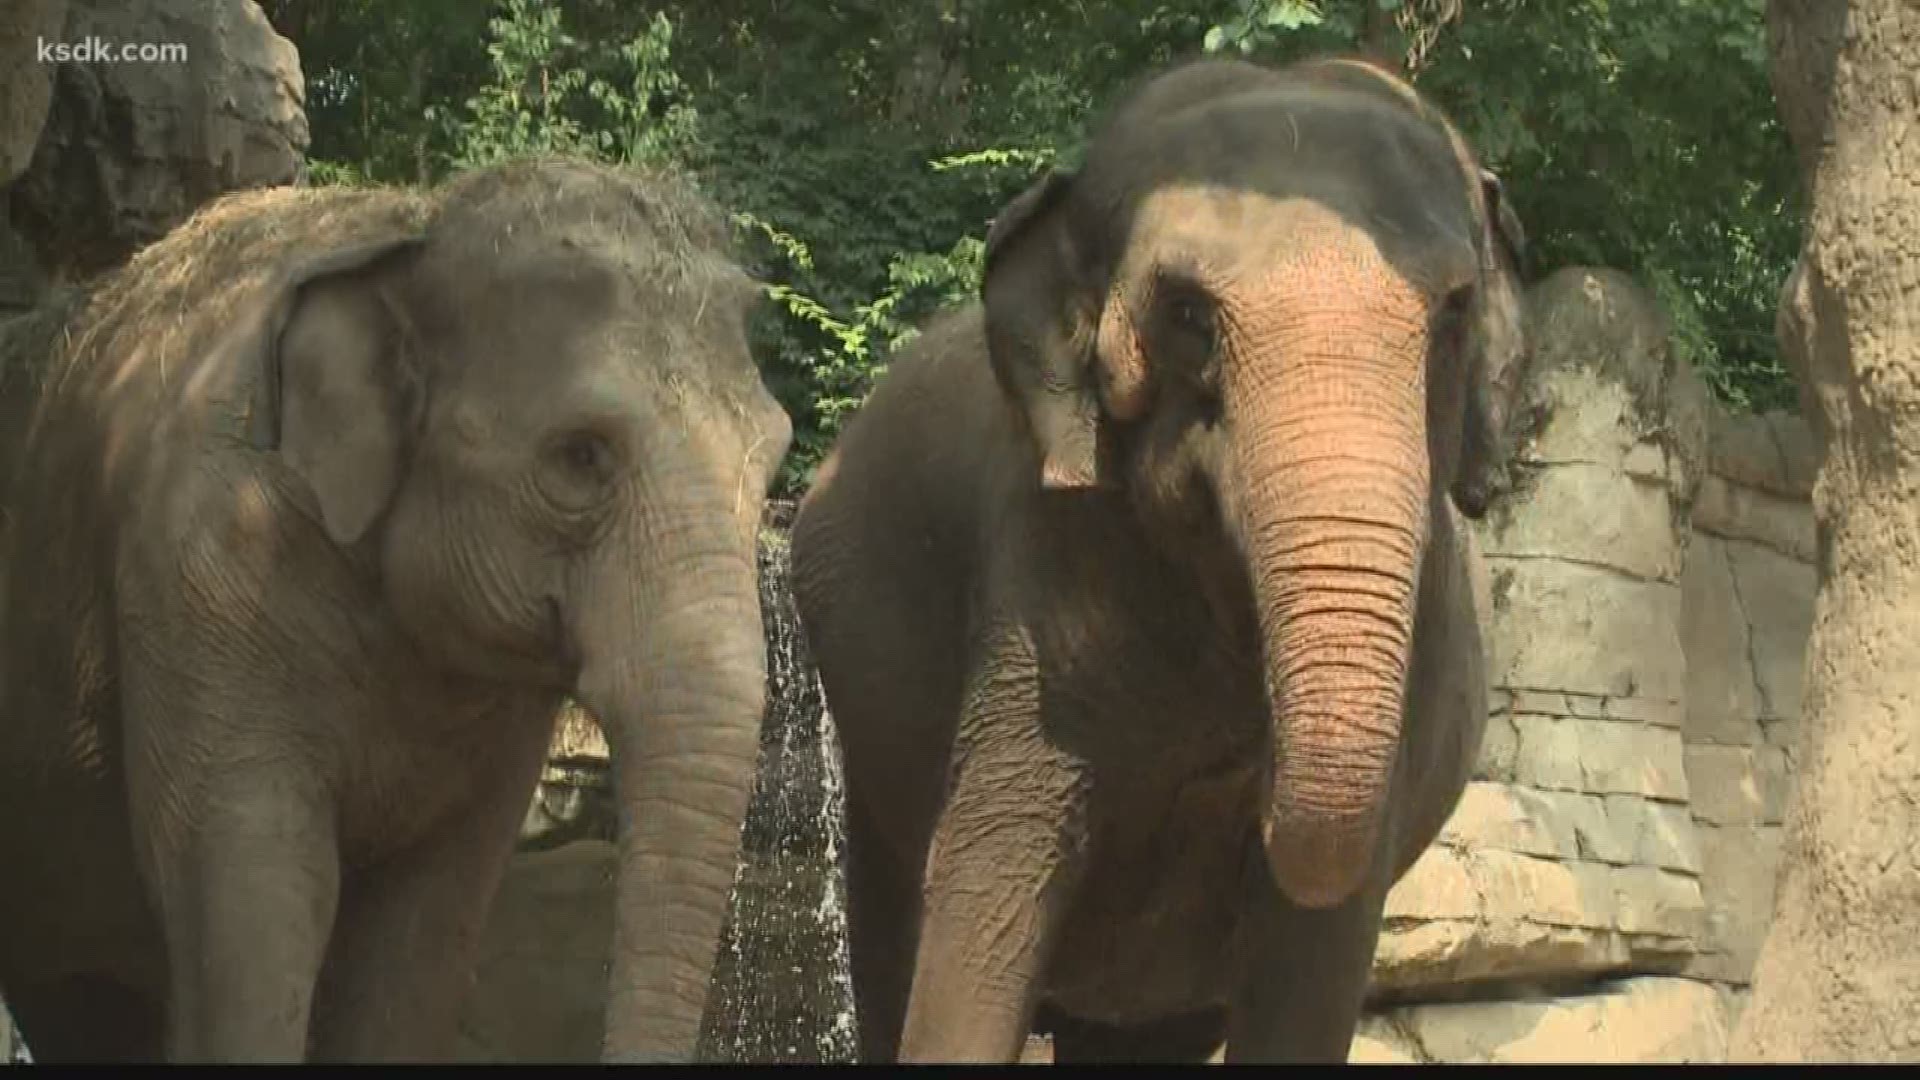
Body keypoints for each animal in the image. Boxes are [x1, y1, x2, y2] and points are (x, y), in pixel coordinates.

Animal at [0, 158, 791, 1062]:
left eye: (775, 460)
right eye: (579, 457)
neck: (411, 235)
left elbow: (427, 918)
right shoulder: (198, 566)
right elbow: (266, 884)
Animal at [789, 55, 1528, 1063]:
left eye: (1453, 315)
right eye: (1189, 316)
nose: (1250, 779)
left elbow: (1314, 957)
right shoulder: (1038, 582)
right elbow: (987, 898)